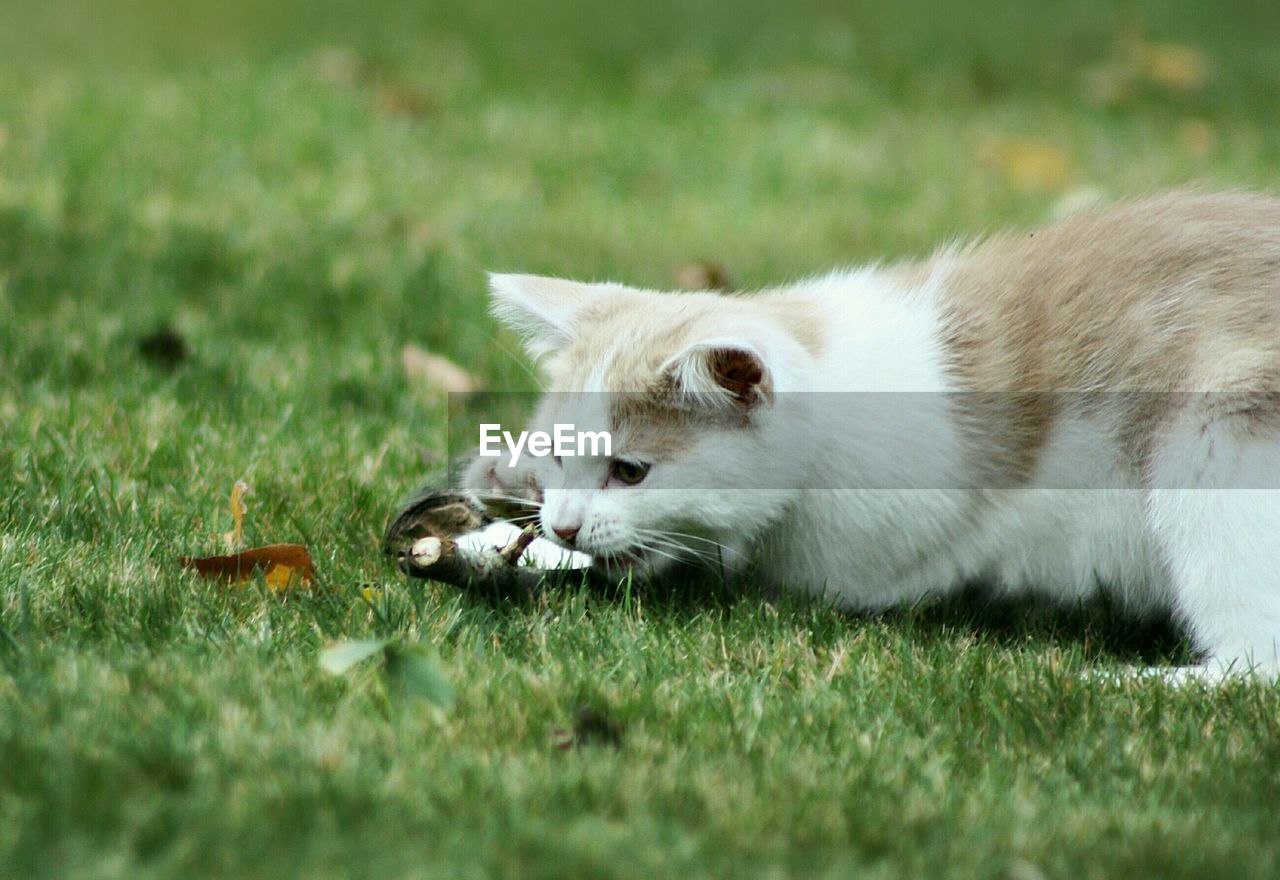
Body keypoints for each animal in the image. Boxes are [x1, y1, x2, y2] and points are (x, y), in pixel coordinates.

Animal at [465, 191, 1280, 680]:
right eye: (560, 453)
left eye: (631, 471)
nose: (566, 523)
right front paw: (497, 510)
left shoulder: (860, 553)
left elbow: (700, 561)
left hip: (1216, 441)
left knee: (1255, 667)